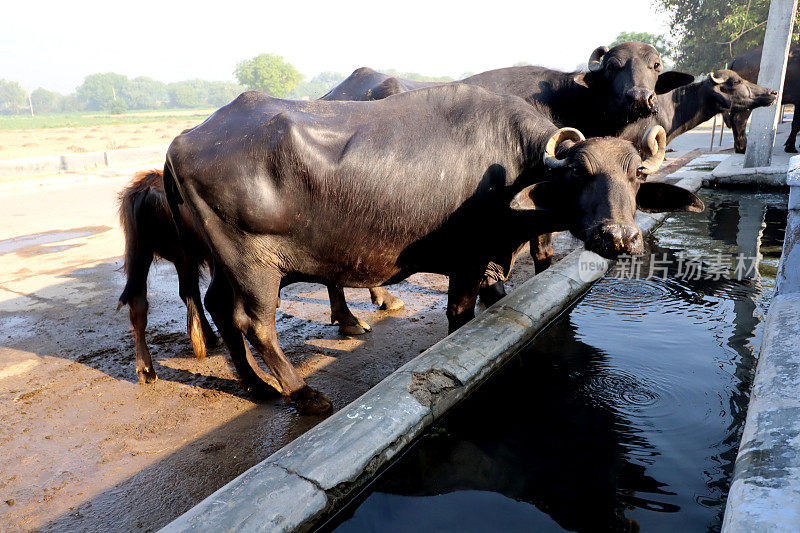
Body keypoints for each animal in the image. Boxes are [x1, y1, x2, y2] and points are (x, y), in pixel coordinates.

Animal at [166, 85, 704, 414]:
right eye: (577, 173)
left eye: (635, 176)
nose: (619, 236)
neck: (513, 166)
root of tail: (182, 142)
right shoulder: (466, 262)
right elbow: (459, 316)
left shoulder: (490, 262)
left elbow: (498, 295)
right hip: (252, 265)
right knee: (254, 323)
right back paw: (303, 394)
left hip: (225, 263)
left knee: (220, 307)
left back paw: (257, 386)